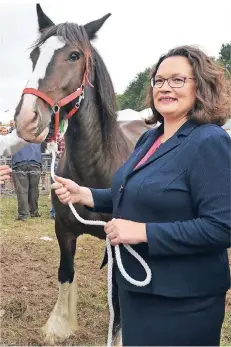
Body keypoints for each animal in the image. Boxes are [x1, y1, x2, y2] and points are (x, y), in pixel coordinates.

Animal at [14, 3, 152, 346]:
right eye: (35, 54)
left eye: (74, 55)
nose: (26, 119)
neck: (95, 169)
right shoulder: (64, 231)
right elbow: (66, 273)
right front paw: (58, 325)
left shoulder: (121, 244)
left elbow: (118, 294)